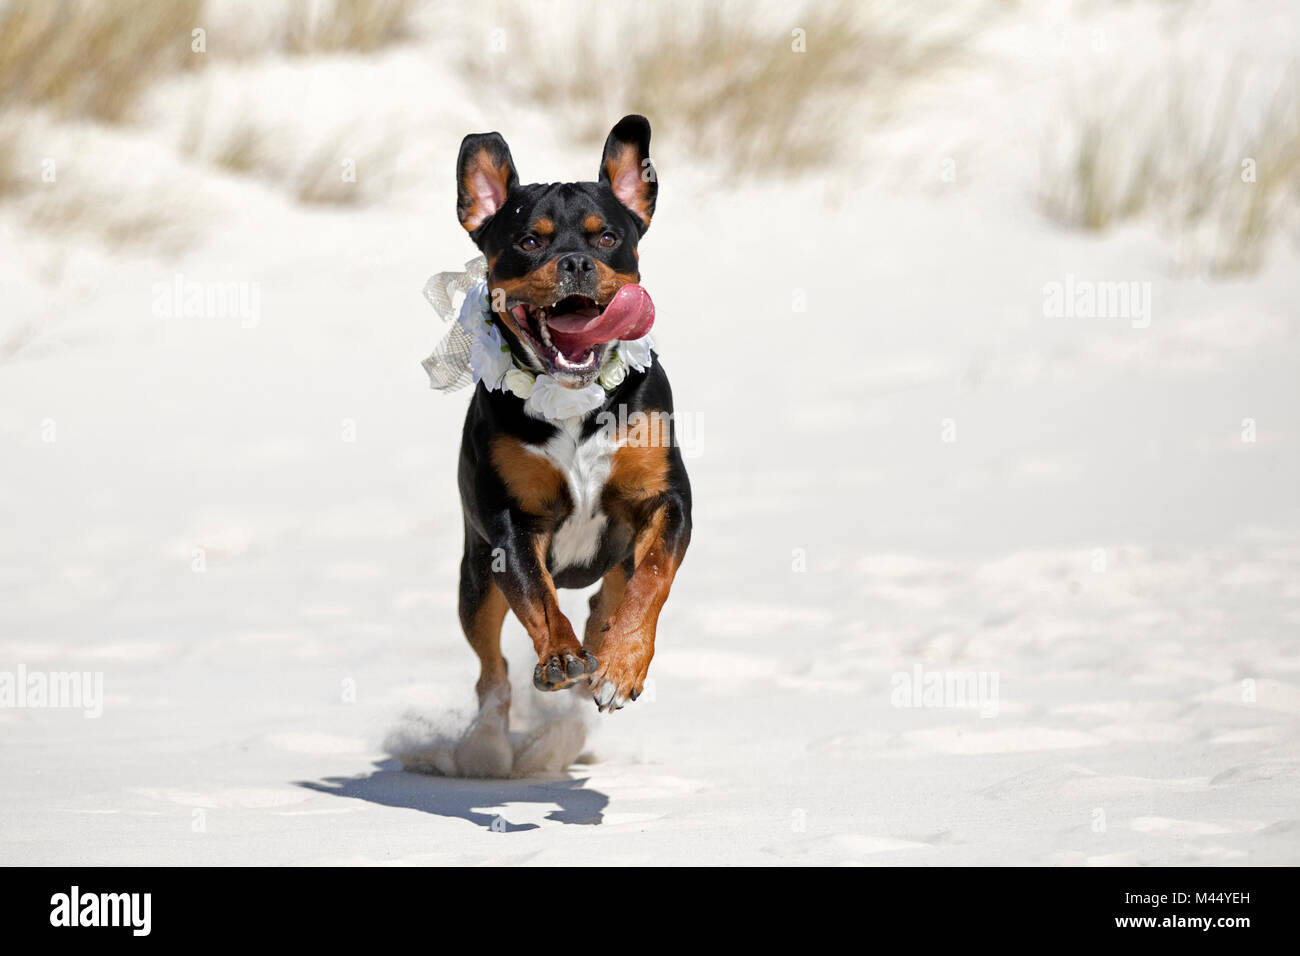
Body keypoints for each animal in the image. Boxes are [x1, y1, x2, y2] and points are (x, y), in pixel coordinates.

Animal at [447, 115, 691, 780]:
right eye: (529, 241)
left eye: (608, 236)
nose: (576, 263)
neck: (574, 401)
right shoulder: (510, 521)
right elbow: (537, 595)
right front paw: (560, 657)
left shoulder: (666, 500)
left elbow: (652, 577)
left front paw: (622, 665)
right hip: (474, 579)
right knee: (492, 670)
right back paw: (488, 745)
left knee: (611, 597)